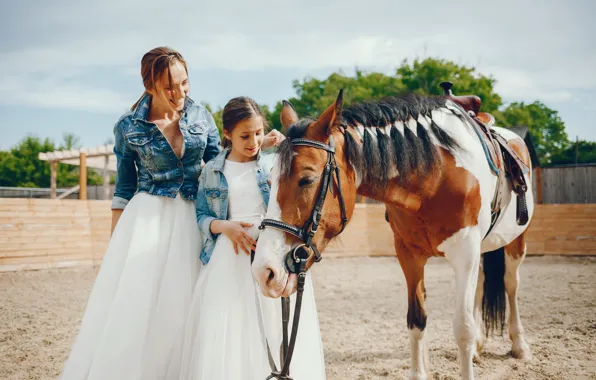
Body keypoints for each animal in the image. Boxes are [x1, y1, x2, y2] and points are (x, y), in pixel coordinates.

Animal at [254, 87, 532, 378]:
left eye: (306, 179)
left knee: (511, 283)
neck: (436, 175)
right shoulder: (409, 255)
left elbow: (462, 329)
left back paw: (520, 345)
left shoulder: (465, 253)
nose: (264, 271)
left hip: (515, 242)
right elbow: (416, 321)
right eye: (271, 179)